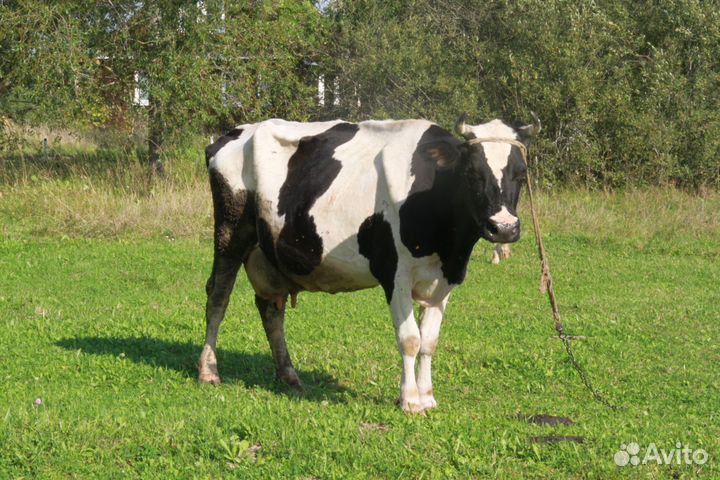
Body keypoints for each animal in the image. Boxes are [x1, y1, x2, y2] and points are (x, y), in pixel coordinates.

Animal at [197, 114, 540, 413]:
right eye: (473, 174)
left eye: (521, 174)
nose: (504, 228)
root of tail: (233, 133)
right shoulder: (394, 274)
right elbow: (410, 339)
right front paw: (410, 401)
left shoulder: (445, 280)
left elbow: (429, 342)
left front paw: (428, 396)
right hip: (230, 230)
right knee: (218, 297)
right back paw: (208, 370)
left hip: (269, 254)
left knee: (271, 309)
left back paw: (289, 376)